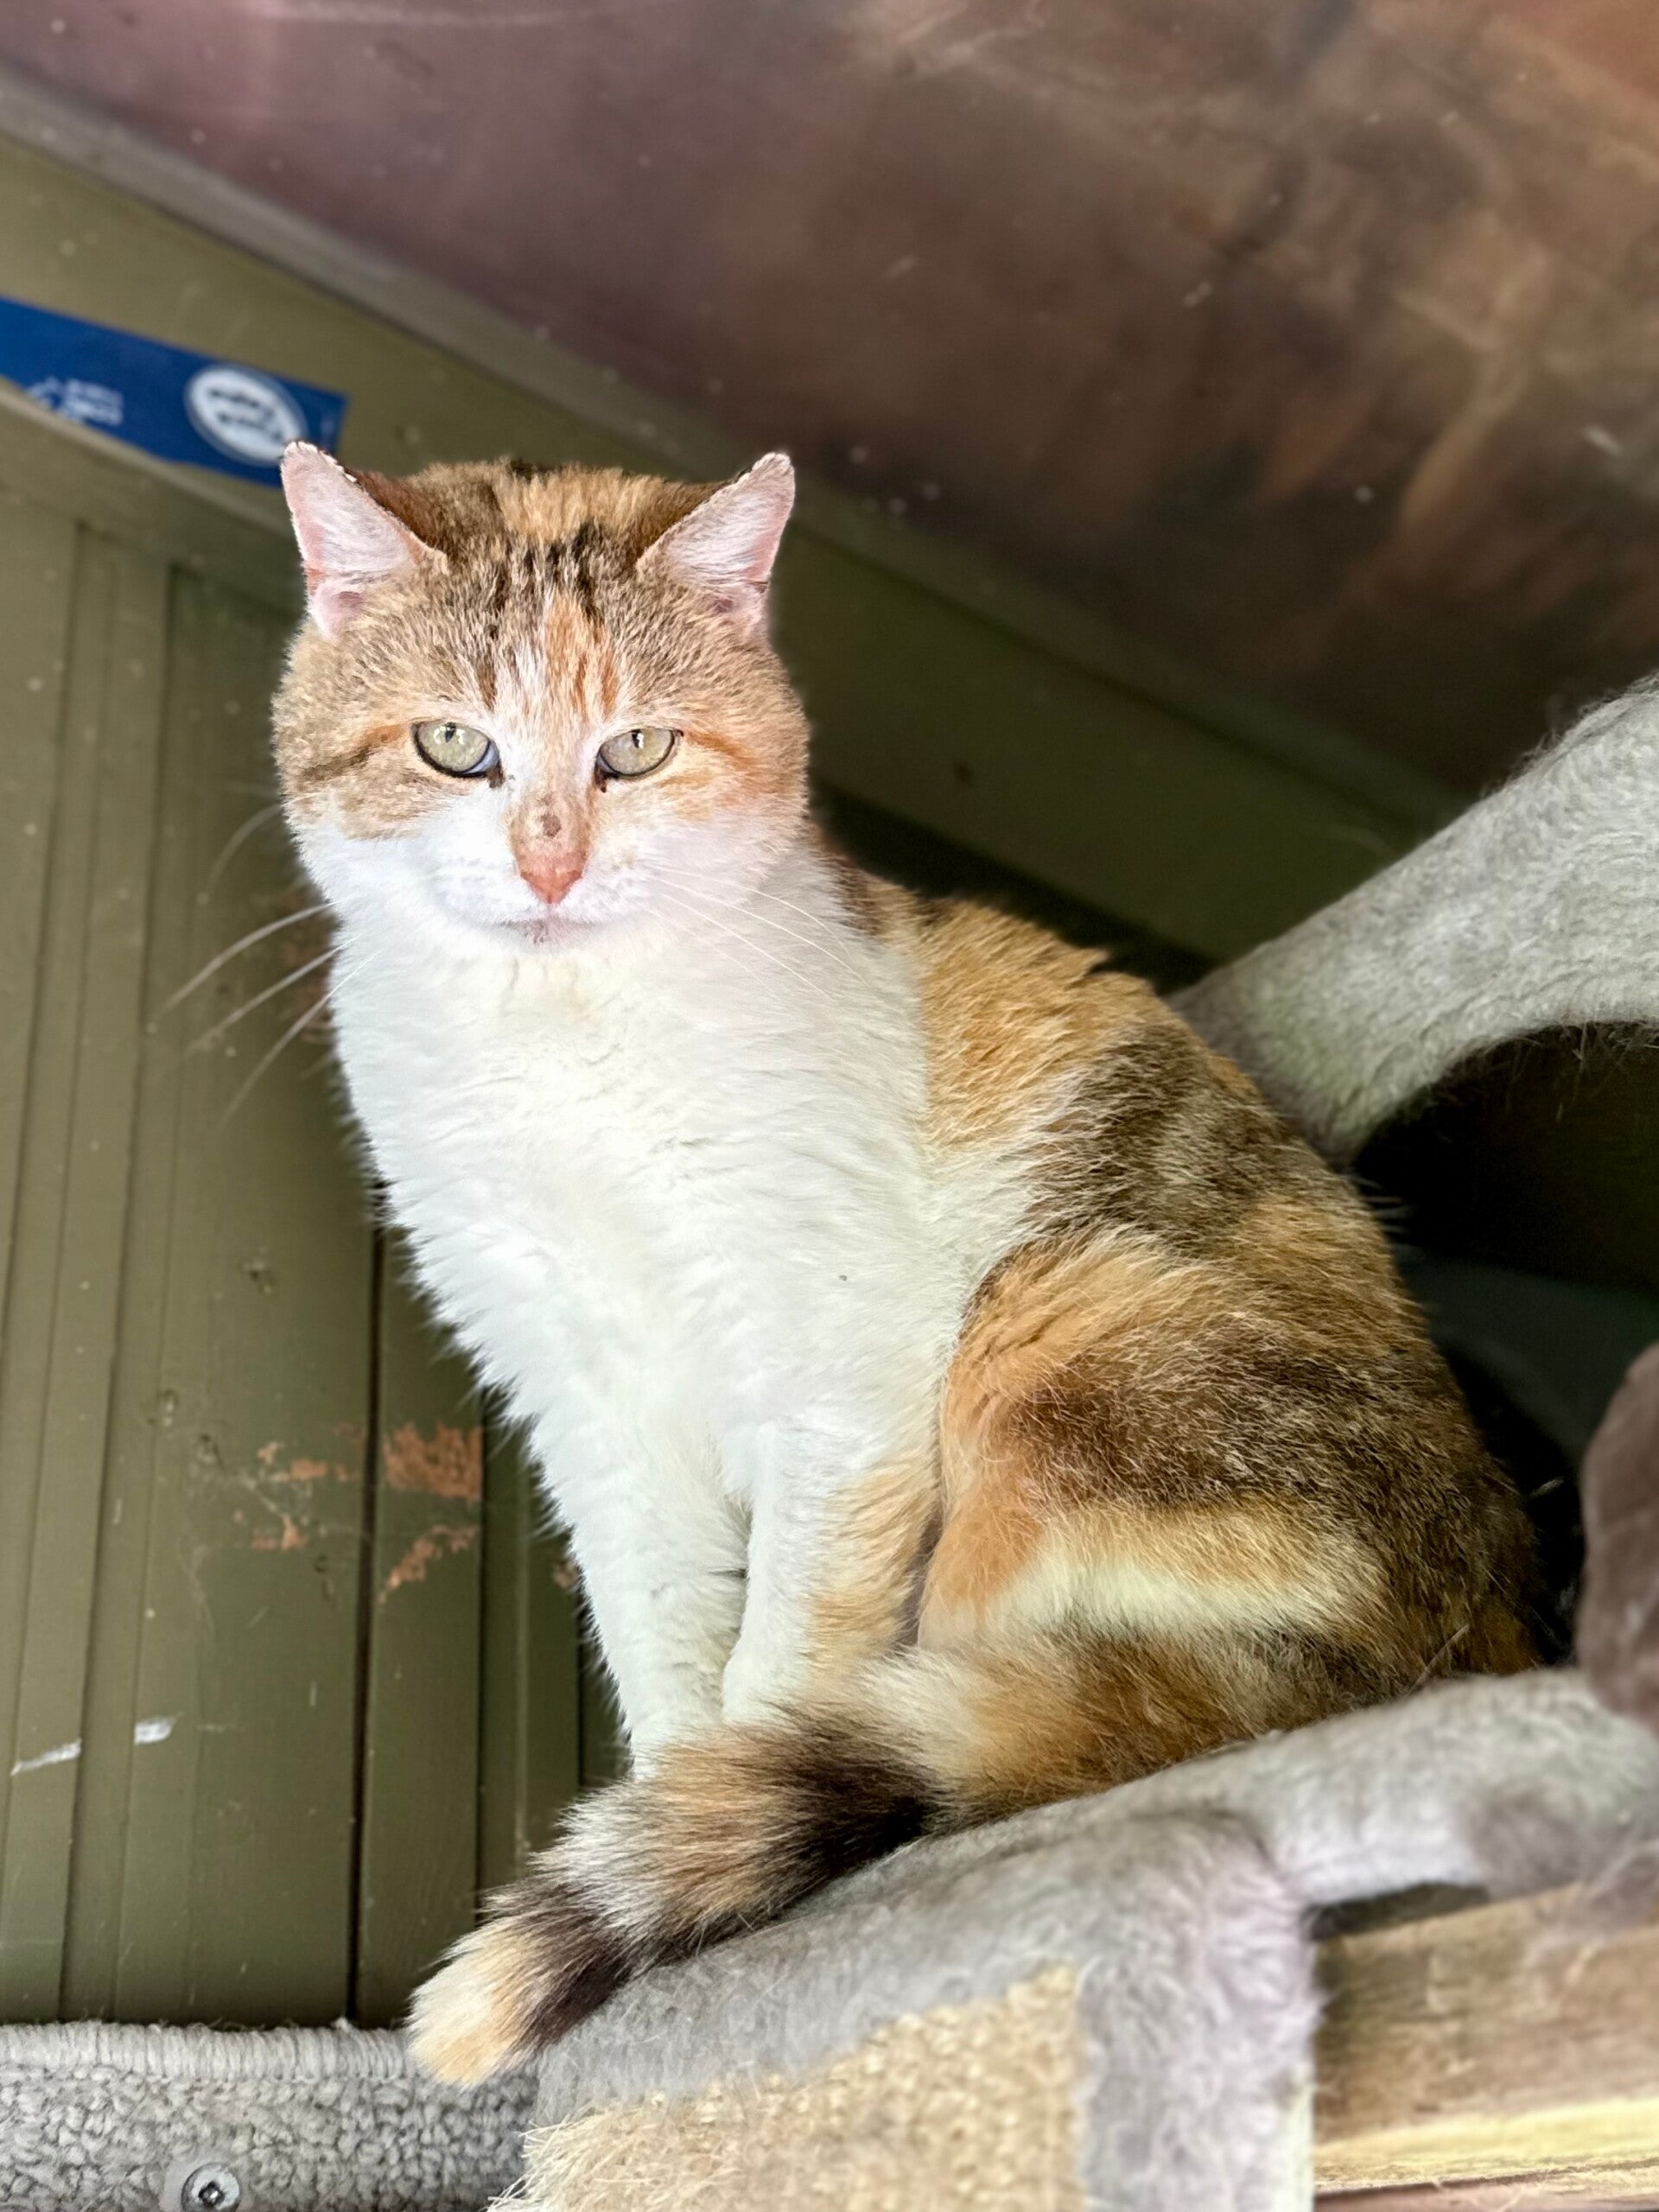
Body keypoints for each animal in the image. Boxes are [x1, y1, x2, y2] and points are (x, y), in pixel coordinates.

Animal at [272, 442, 1536, 2083]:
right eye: (451, 745)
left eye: (637, 750)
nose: (551, 863)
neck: (564, 1053)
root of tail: (1430, 1660)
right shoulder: (588, 1410)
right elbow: (668, 1647)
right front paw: (682, 1816)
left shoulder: (838, 1385)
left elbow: (783, 1663)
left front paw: (716, 1847)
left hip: (1054, 1324)